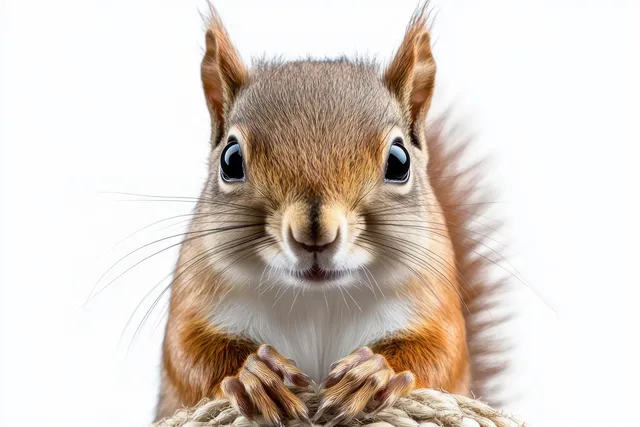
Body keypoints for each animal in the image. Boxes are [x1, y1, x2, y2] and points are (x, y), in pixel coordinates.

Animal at [155, 3, 505, 426]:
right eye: (230, 159)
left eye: (399, 161)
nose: (314, 233)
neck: (316, 301)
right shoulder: (195, 292)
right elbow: (186, 353)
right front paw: (254, 373)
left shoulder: (434, 298)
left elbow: (443, 353)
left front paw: (372, 372)